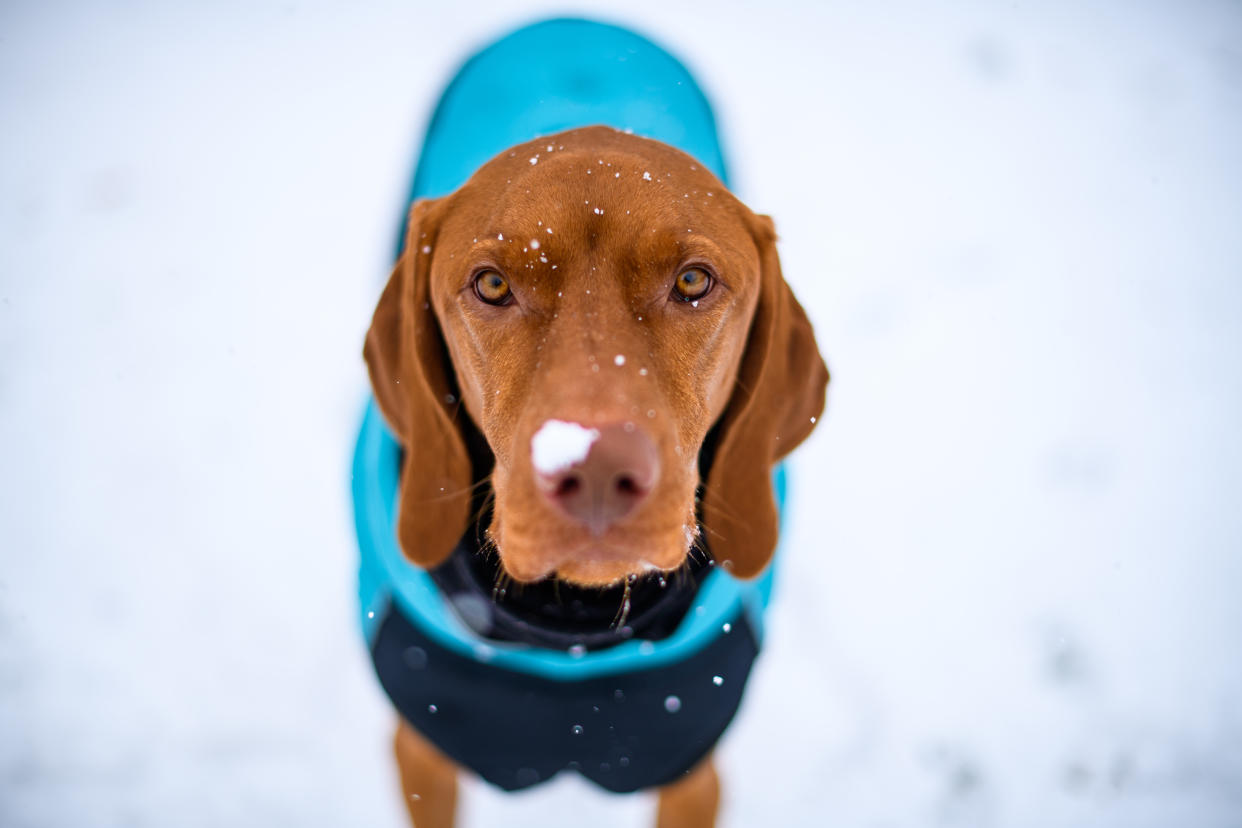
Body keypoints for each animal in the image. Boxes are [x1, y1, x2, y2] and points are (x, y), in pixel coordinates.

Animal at [362, 124, 829, 828]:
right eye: (492, 285)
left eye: (693, 280)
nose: (597, 469)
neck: (573, 638)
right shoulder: (422, 757)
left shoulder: (691, 773)